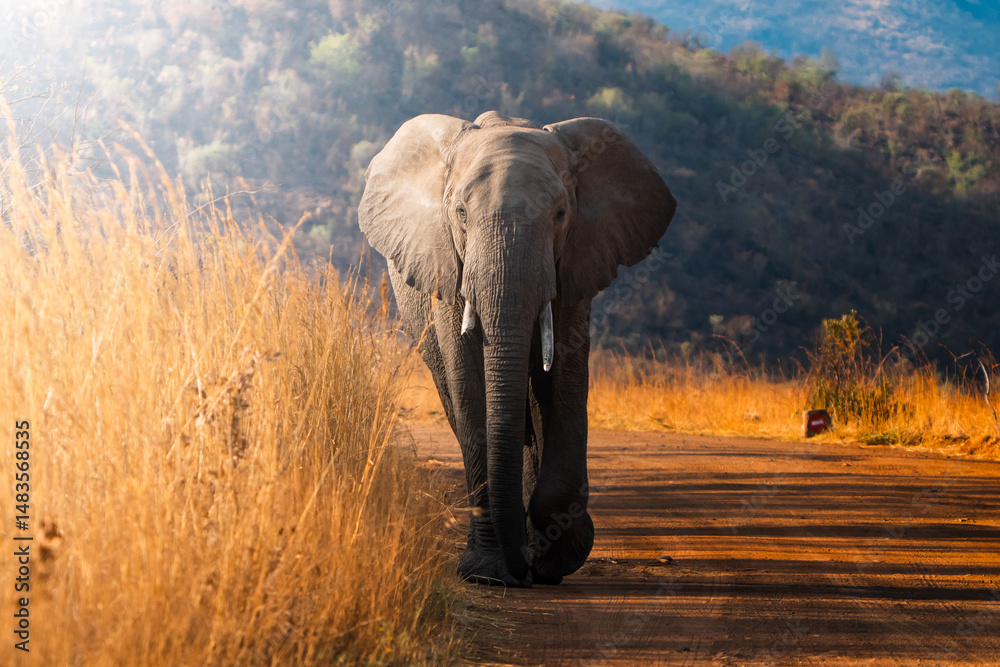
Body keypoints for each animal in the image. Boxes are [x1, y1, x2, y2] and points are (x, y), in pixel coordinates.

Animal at [358, 111, 676, 587]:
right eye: (461, 213)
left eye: (561, 213)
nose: (522, 571)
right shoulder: (449, 269)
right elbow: (469, 380)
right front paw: (488, 573)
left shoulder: (574, 264)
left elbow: (562, 378)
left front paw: (559, 555)